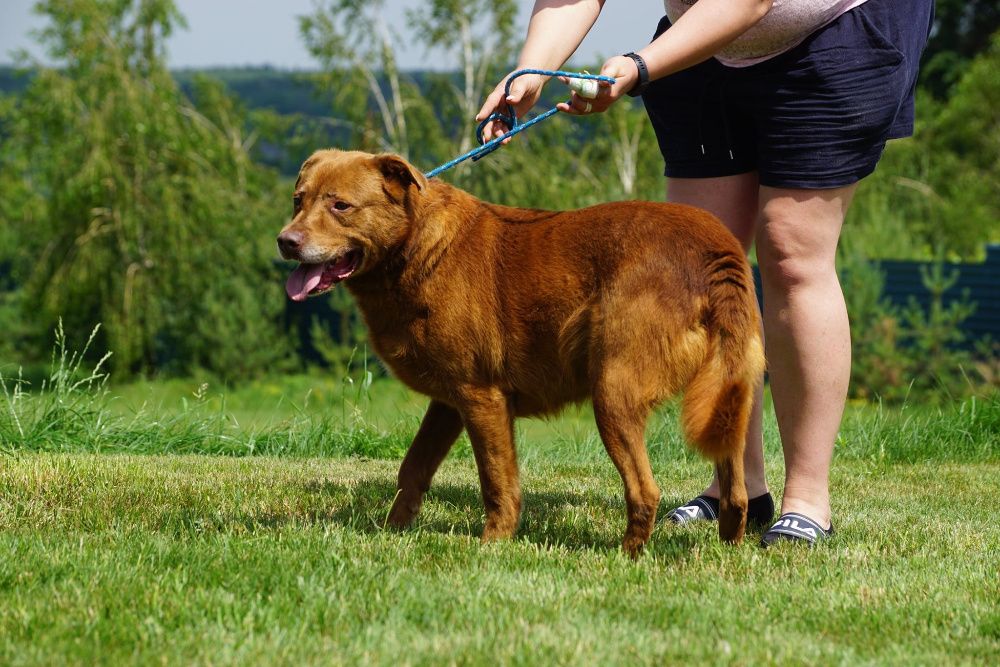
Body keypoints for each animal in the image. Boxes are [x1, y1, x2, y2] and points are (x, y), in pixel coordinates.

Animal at [280, 150, 764, 552]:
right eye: (298, 200)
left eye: (340, 206)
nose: (285, 241)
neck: (416, 245)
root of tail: (716, 251)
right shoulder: (449, 403)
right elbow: (412, 469)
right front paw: (392, 531)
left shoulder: (482, 397)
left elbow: (497, 481)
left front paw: (492, 544)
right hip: (728, 394)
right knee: (735, 488)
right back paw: (728, 548)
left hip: (612, 391)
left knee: (646, 490)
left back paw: (625, 556)